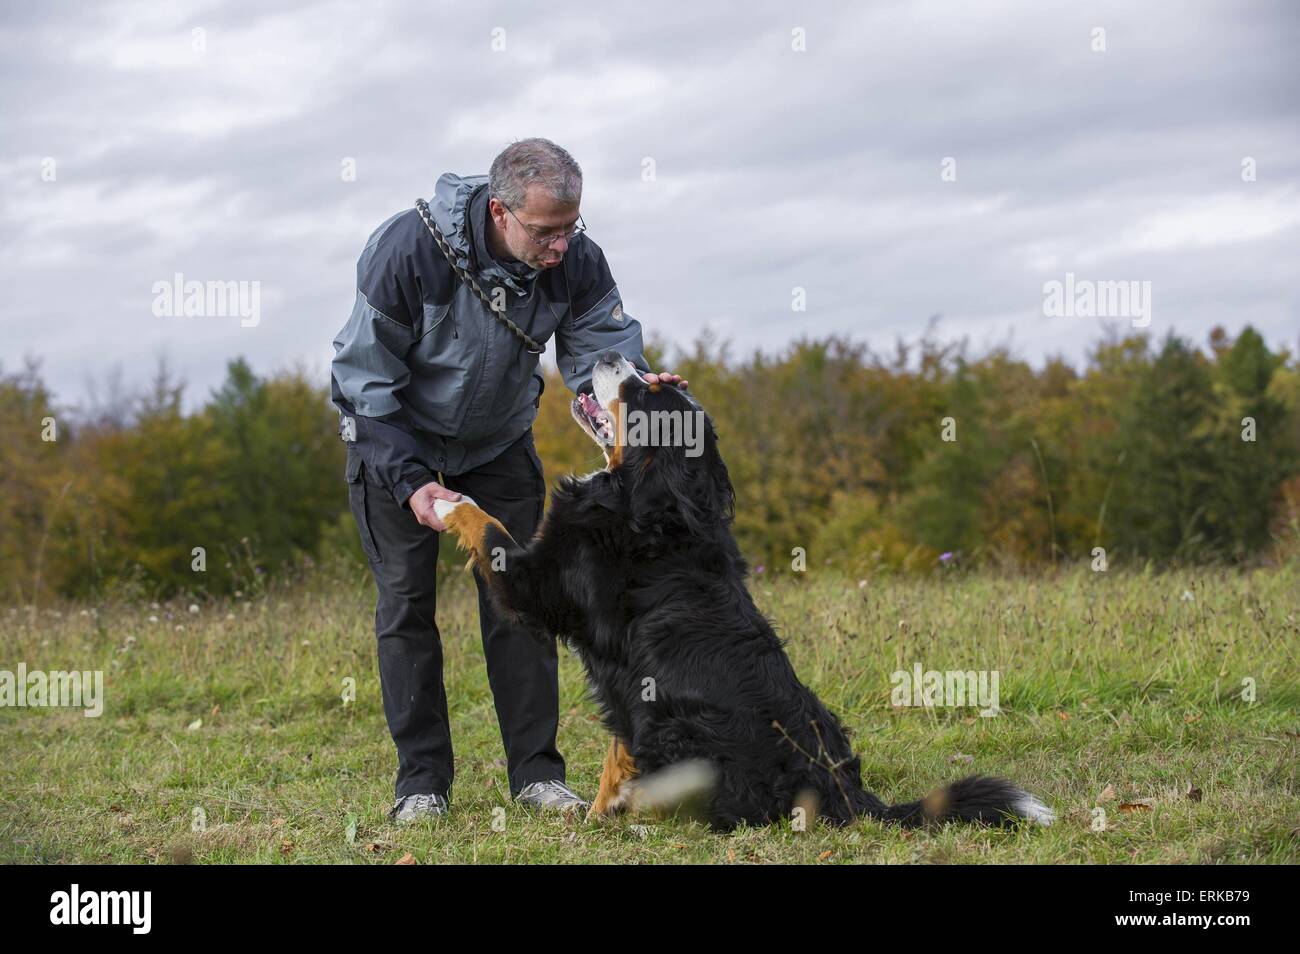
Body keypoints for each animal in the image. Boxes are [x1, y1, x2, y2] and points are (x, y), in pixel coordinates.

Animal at [439, 353, 1055, 837]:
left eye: (644, 392)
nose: (612, 353)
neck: (648, 497)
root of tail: (849, 794)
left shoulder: (534, 583)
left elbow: (487, 523)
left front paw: (445, 501)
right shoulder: (628, 688)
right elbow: (618, 751)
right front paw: (597, 811)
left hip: (682, 728)